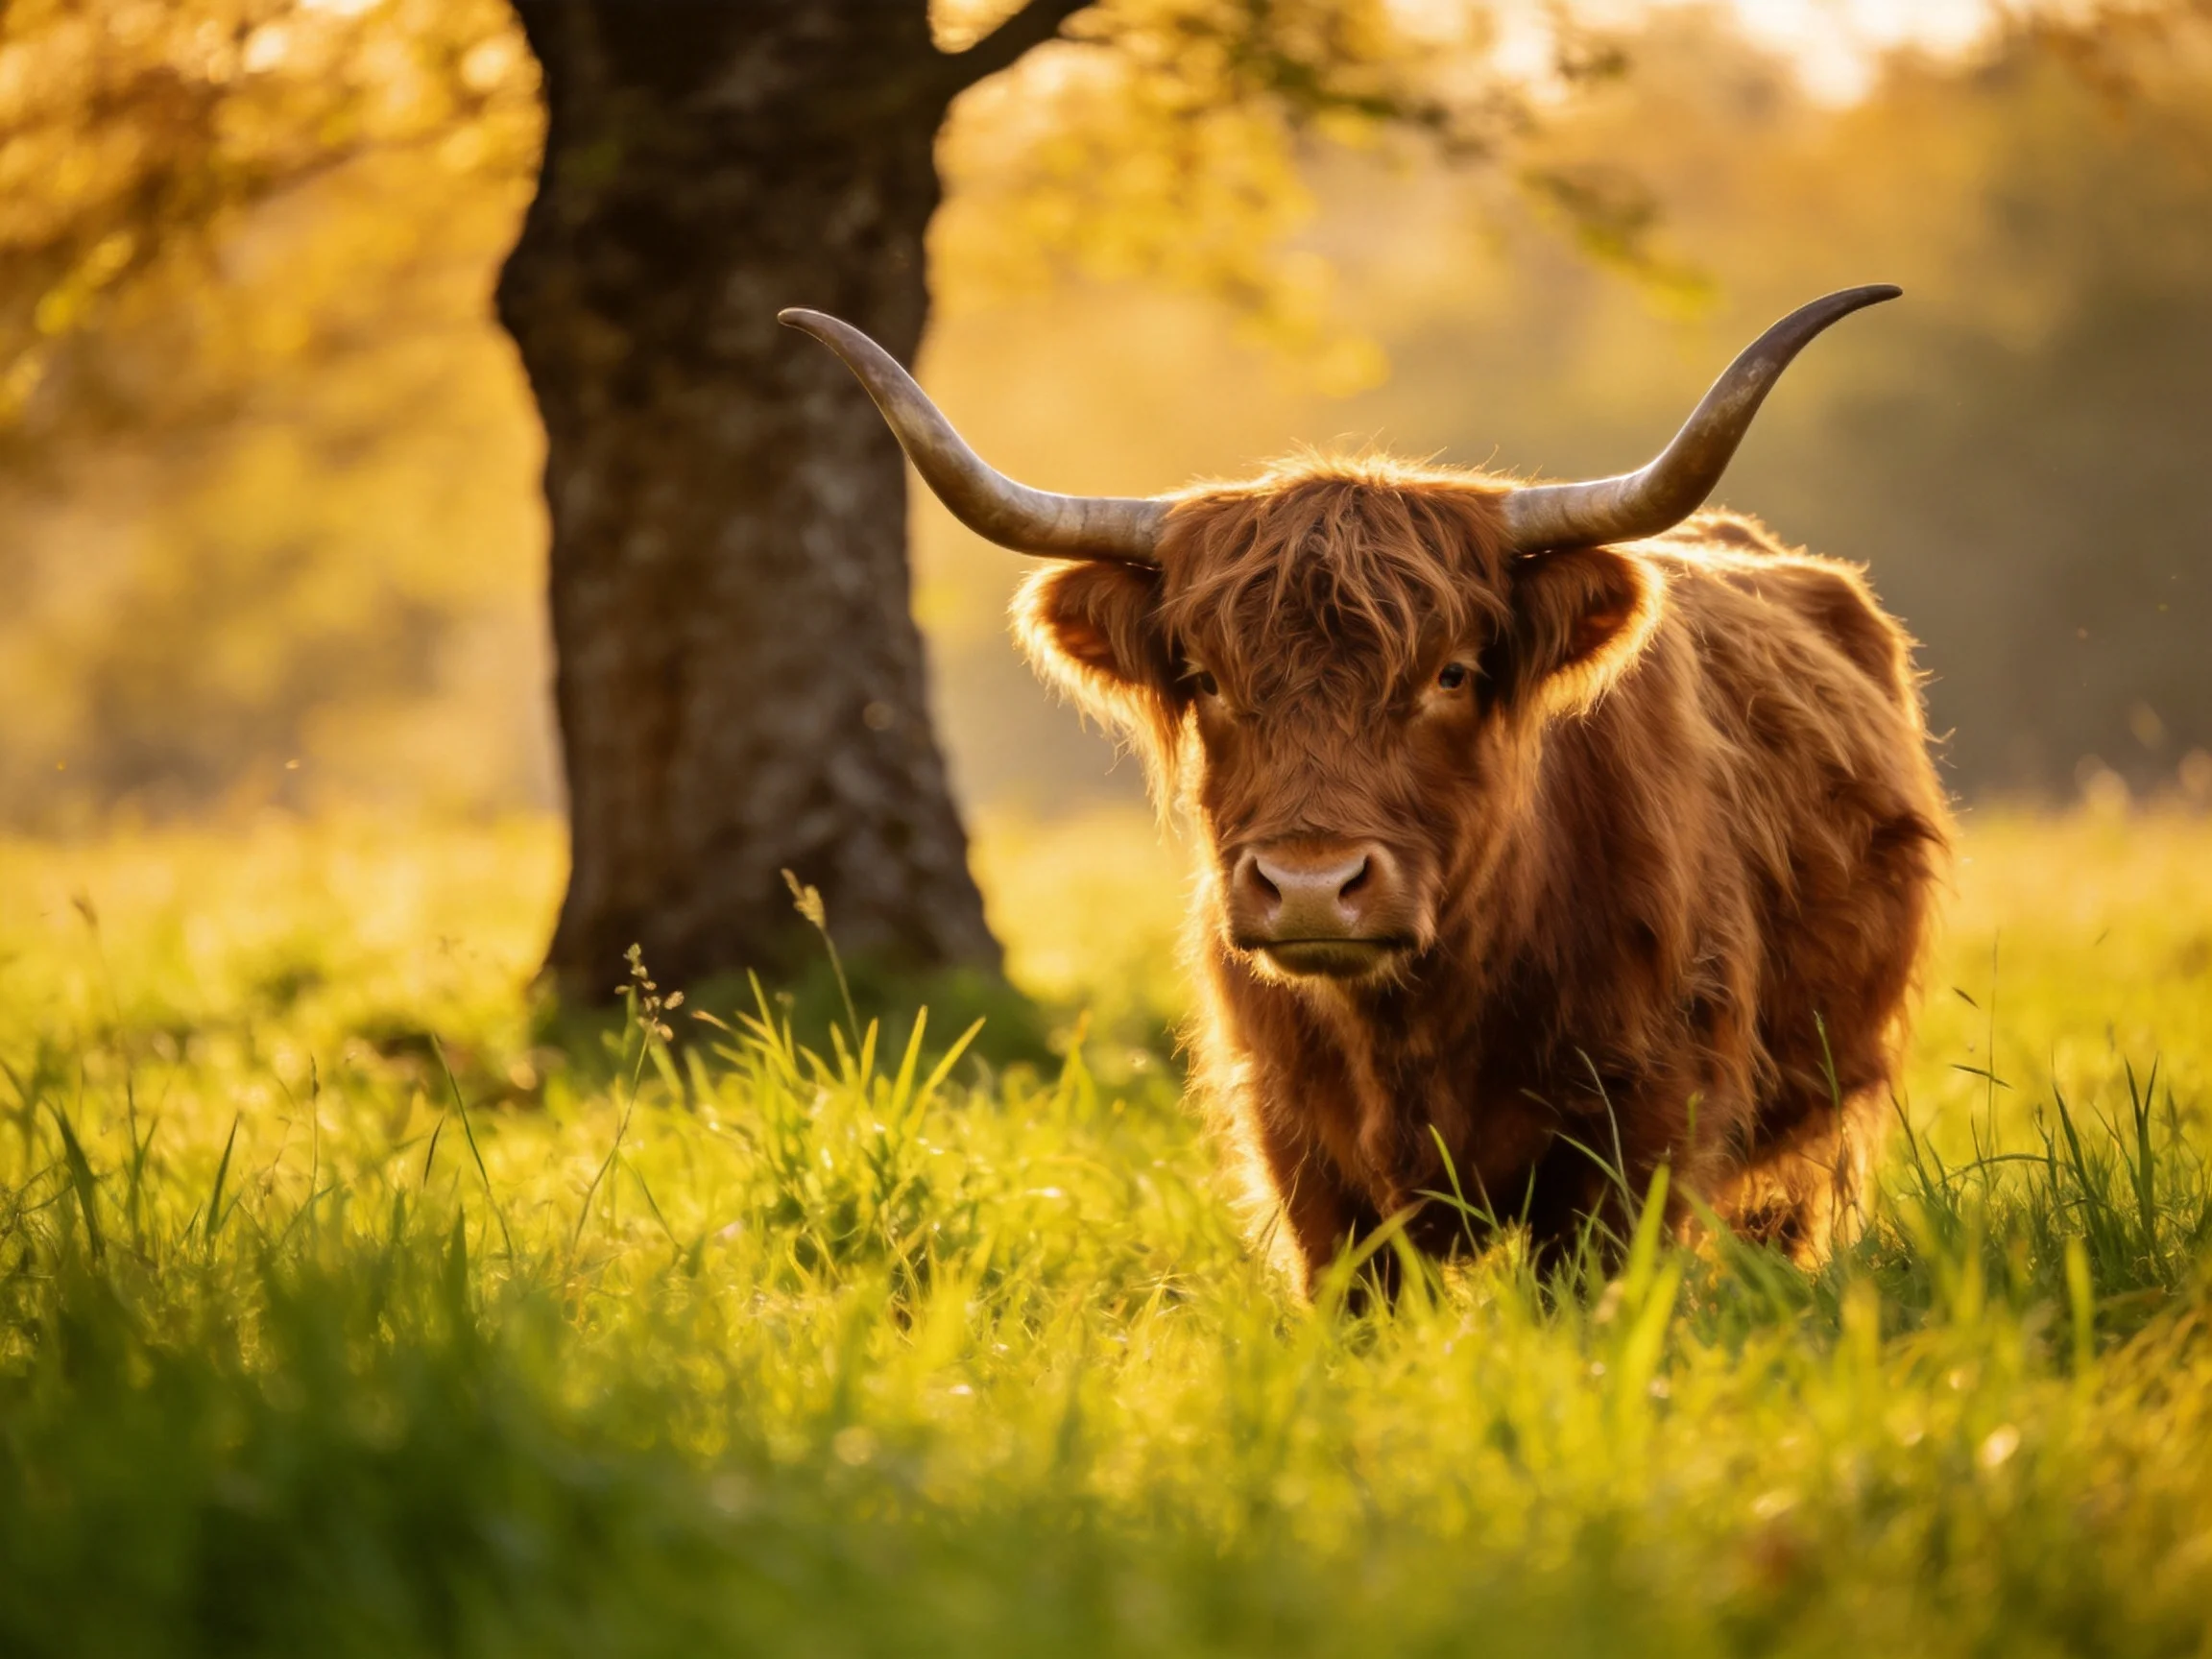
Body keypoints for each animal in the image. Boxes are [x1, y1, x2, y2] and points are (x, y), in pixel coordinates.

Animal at [783, 288, 1950, 1294]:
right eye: (1206, 678)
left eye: (1453, 673)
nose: (1310, 886)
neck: (1417, 1031)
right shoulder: (1304, 1154)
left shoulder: (1642, 1129)